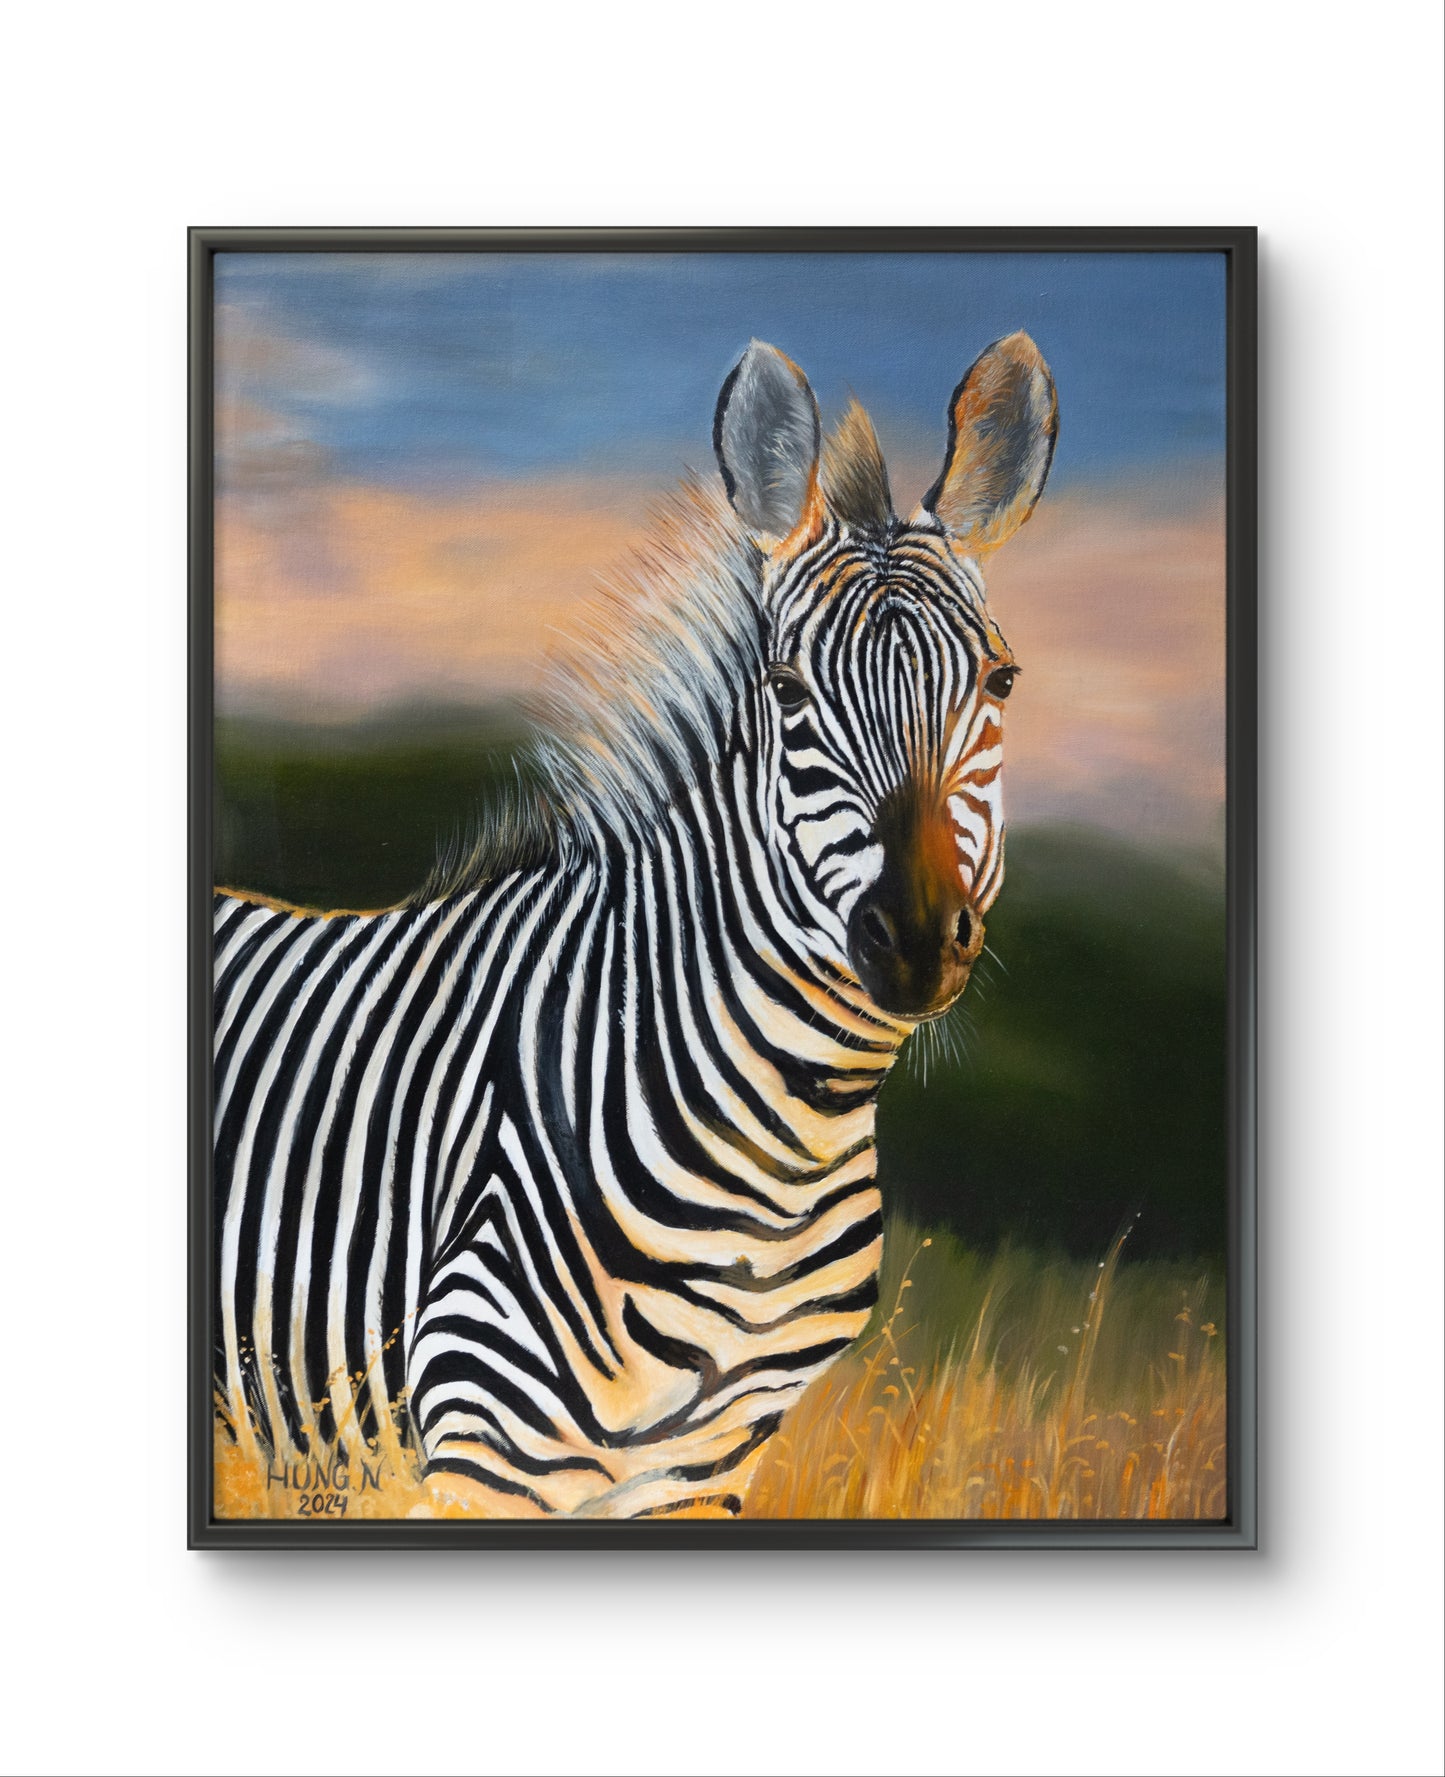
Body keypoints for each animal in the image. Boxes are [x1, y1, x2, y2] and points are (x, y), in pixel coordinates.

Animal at [213, 331, 1058, 1519]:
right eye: (786, 690)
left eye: (1001, 681)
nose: (918, 935)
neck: (779, 1150)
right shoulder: (484, 1445)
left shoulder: (703, 1465)